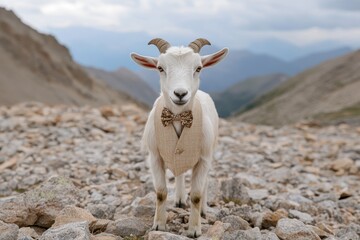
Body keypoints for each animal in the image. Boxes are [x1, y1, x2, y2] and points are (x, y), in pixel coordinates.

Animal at [131, 38, 228, 237]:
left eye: (198, 68)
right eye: (160, 68)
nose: (180, 94)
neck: (177, 117)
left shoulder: (203, 158)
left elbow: (196, 195)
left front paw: (194, 229)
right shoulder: (155, 157)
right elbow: (161, 192)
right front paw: (159, 225)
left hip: (210, 151)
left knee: (205, 182)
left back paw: (203, 210)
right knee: (180, 172)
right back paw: (180, 199)